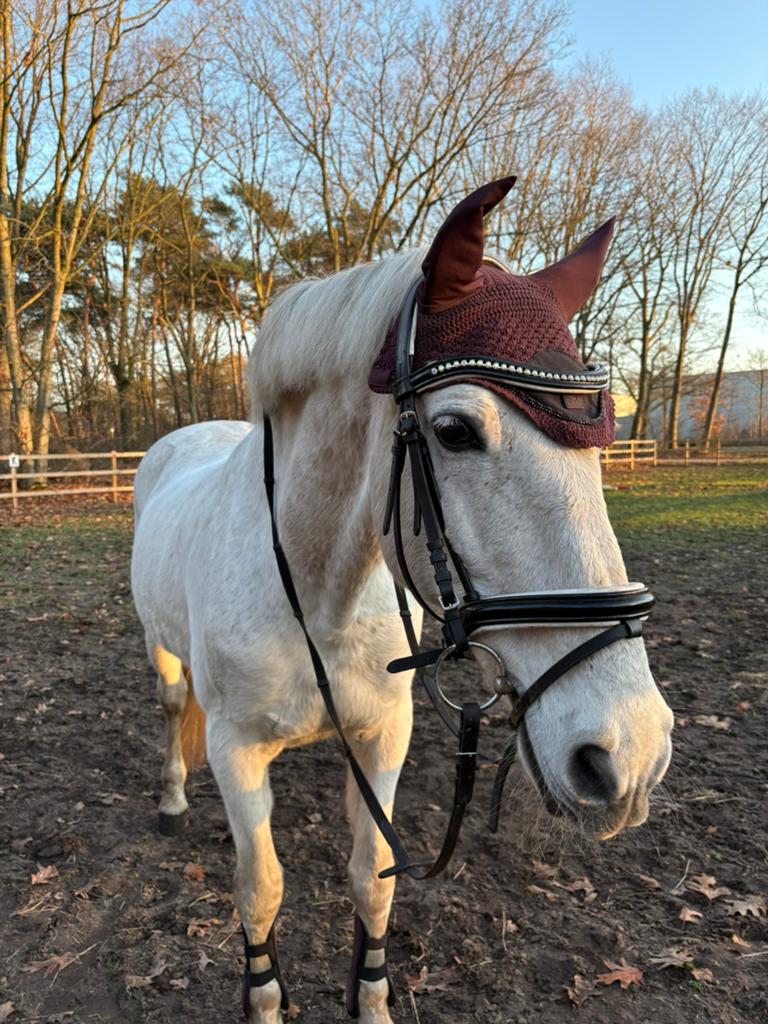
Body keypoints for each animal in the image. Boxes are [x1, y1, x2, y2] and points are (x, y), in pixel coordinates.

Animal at [131, 177, 673, 1024]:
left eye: (605, 438)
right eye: (454, 431)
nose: (631, 755)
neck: (320, 596)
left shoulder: (386, 733)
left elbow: (373, 879)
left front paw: (373, 999)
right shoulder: (234, 750)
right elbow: (260, 892)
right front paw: (264, 999)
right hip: (161, 655)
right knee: (169, 707)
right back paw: (171, 799)